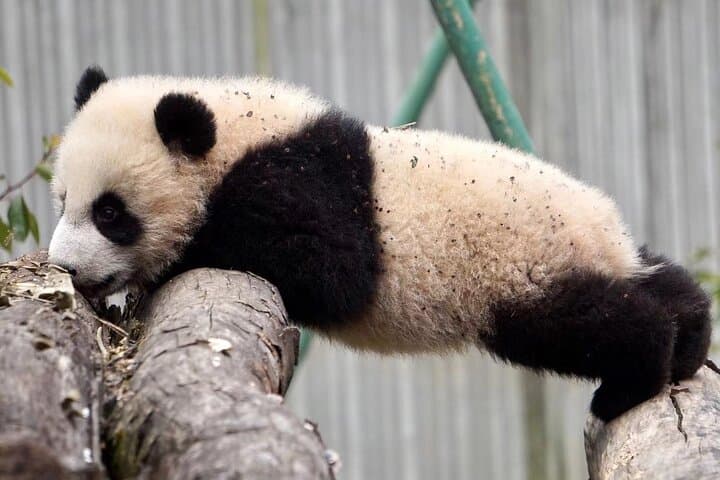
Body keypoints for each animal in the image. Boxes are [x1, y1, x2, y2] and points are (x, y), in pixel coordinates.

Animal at [48, 66, 712, 422]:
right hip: (590, 254)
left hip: (522, 268)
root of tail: (604, 231)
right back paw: (689, 340)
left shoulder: (304, 185)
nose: (68, 269)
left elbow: (327, 267)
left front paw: (172, 261)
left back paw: (631, 381)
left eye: (111, 213)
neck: (235, 135)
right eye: (61, 201)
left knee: (585, 321)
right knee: (657, 279)